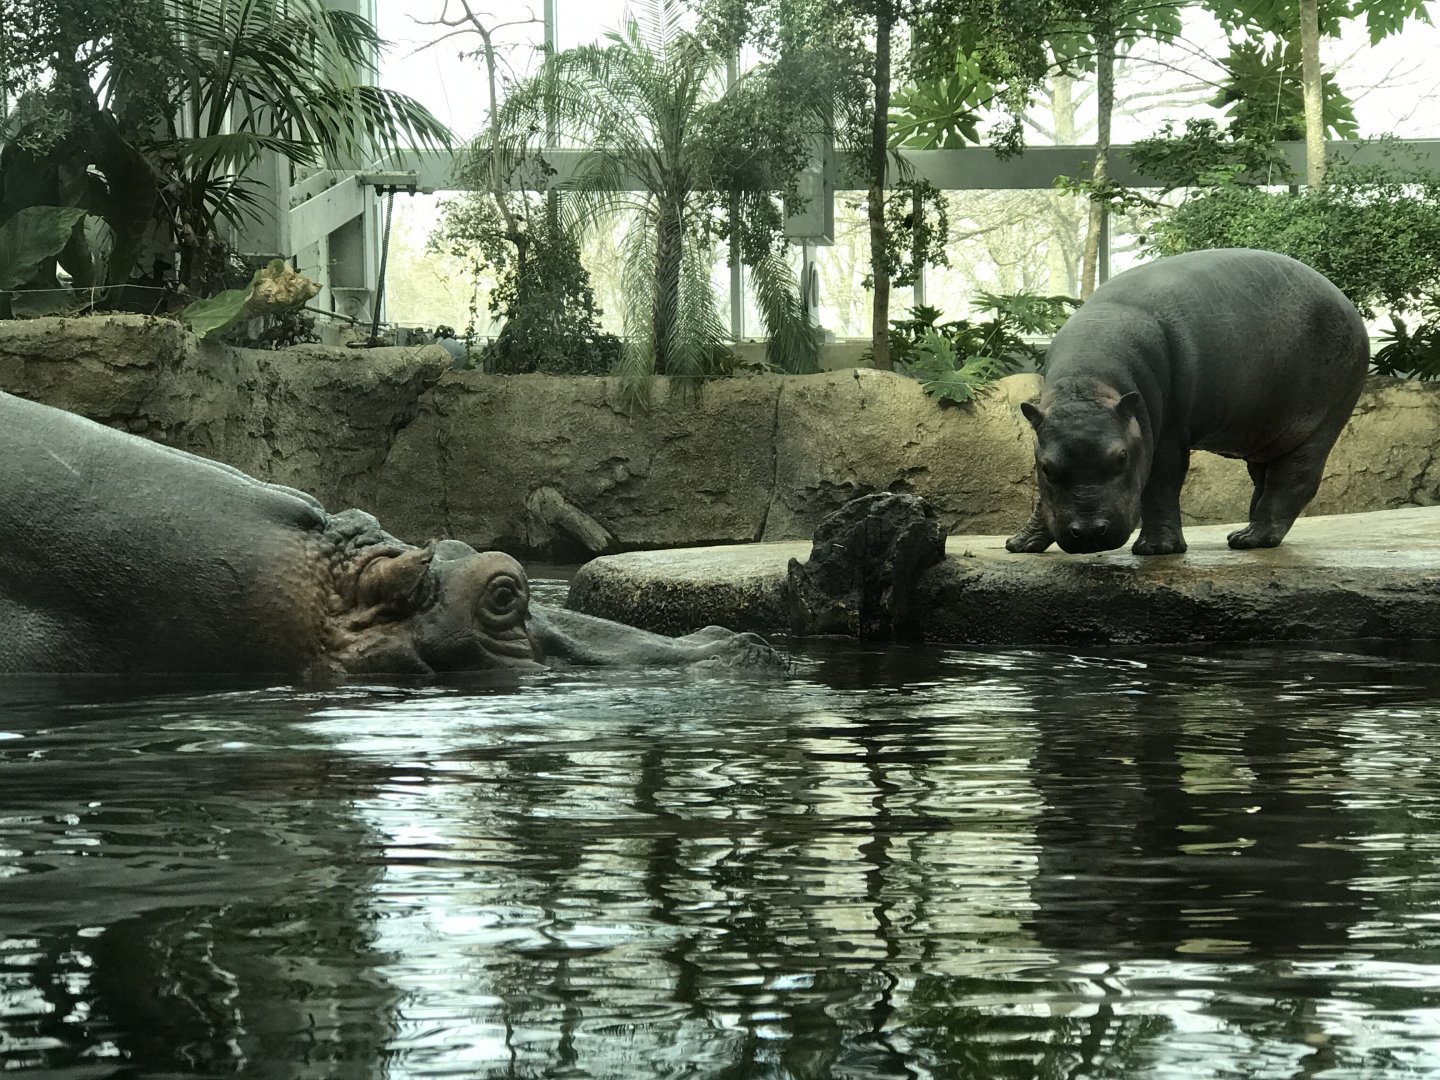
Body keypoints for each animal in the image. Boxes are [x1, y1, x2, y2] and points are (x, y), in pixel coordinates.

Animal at [1006, 248, 1368, 556]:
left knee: (1293, 480)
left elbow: (1161, 483)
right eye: (1046, 467)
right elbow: (1042, 501)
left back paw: (1250, 539)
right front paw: (1019, 545)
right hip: (1266, 434)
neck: (1088, 385)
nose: (1090, 532)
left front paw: (1157, 549)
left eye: (1122, 458)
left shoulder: (1167, 432)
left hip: (1319, 425)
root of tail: (1345, 301)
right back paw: (1243, 530)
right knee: (1265, 479)